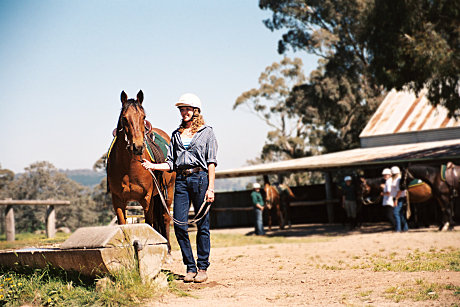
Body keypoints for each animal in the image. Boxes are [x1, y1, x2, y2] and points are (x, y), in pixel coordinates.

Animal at [107, 90, 175, 251]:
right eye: (124, 118)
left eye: (143, 117)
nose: (137, 146)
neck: (129, 167)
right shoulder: (118, 200)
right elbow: (123, 226)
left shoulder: (146, 199)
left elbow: (149, 225)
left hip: (168, 192)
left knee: (165, 218)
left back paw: (168, 249)